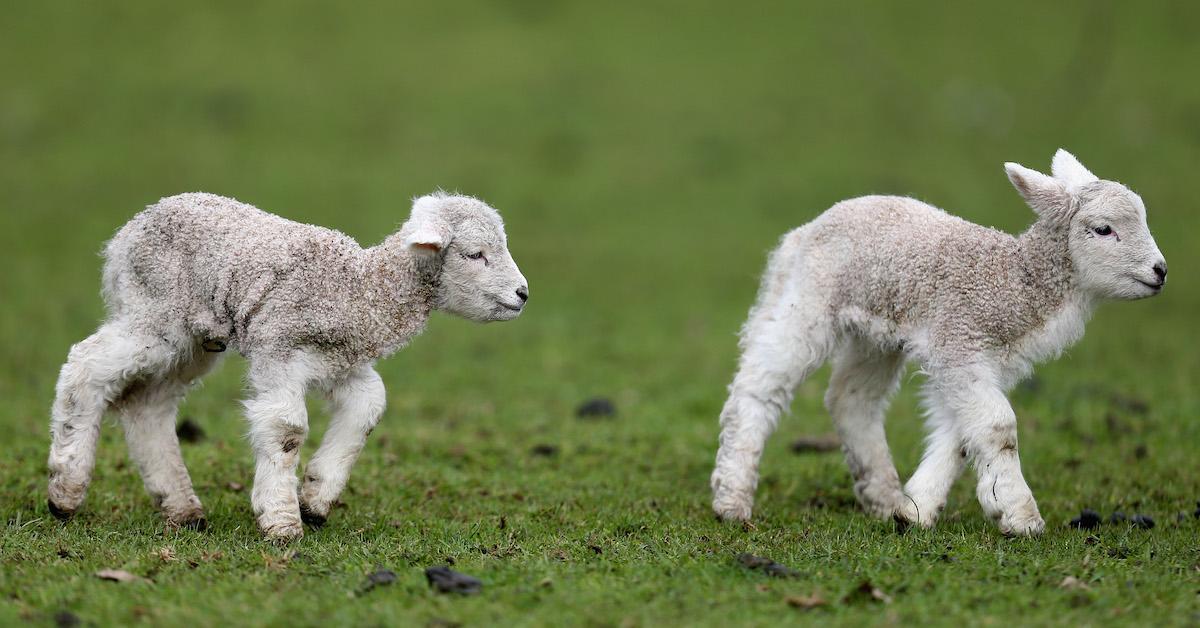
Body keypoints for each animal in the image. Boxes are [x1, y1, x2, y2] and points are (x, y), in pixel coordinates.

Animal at [48, 192, 525, 540]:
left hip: (193, 342)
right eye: (475, 254)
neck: (360, 290)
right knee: (85, 365)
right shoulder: (277, 349)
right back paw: (65, 492)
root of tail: (126, 233)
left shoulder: (338, 363)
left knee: (148, 404)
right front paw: (282, 521)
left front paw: (315, 498)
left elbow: (369, 407)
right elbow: (287, 429)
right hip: (155, 315)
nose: (523, 294)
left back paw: (182, 509)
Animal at [705, 151, 1166, 535]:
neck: (1013, 282)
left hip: (875, 334)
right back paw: (732, 499)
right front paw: (1021, 517)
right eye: (1103, 229)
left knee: (850, 399)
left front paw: (914, 510)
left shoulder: (984, 362)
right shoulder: (958, 342)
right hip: (808, 302)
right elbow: (999, 426)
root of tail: (803, 232)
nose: (1160, 271)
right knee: (759, 387)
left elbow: (962, 436)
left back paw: (883, 496)